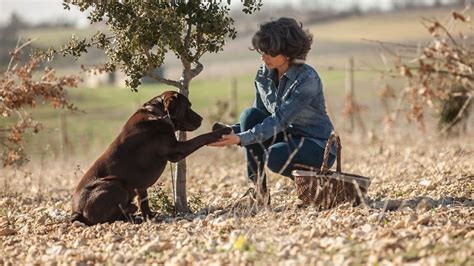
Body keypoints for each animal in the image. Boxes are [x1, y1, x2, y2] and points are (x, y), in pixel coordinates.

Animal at [70, 91, 231, 224]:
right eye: (188, 106)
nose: (201, 119)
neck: (158, 114)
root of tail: (77, 212)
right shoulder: (177, 150)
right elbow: (202, 137)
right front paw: (221, 131)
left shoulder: (140, 187)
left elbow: (144, 201)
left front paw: (149, 216)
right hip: (115, 184)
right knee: (112, 216)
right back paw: (131, 212)